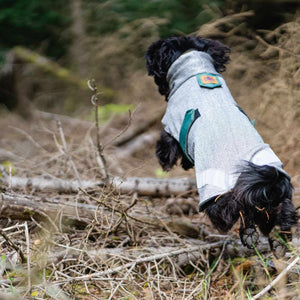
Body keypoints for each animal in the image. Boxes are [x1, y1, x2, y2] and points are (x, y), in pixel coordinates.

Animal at [146, 36, 298, 250]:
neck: (194, 68)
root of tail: (266, 179)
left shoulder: (172, 125)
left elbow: (168, 146)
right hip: (280, 202)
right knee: (276, 217)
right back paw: (273, 242)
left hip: (216, 197)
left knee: (233, 213)